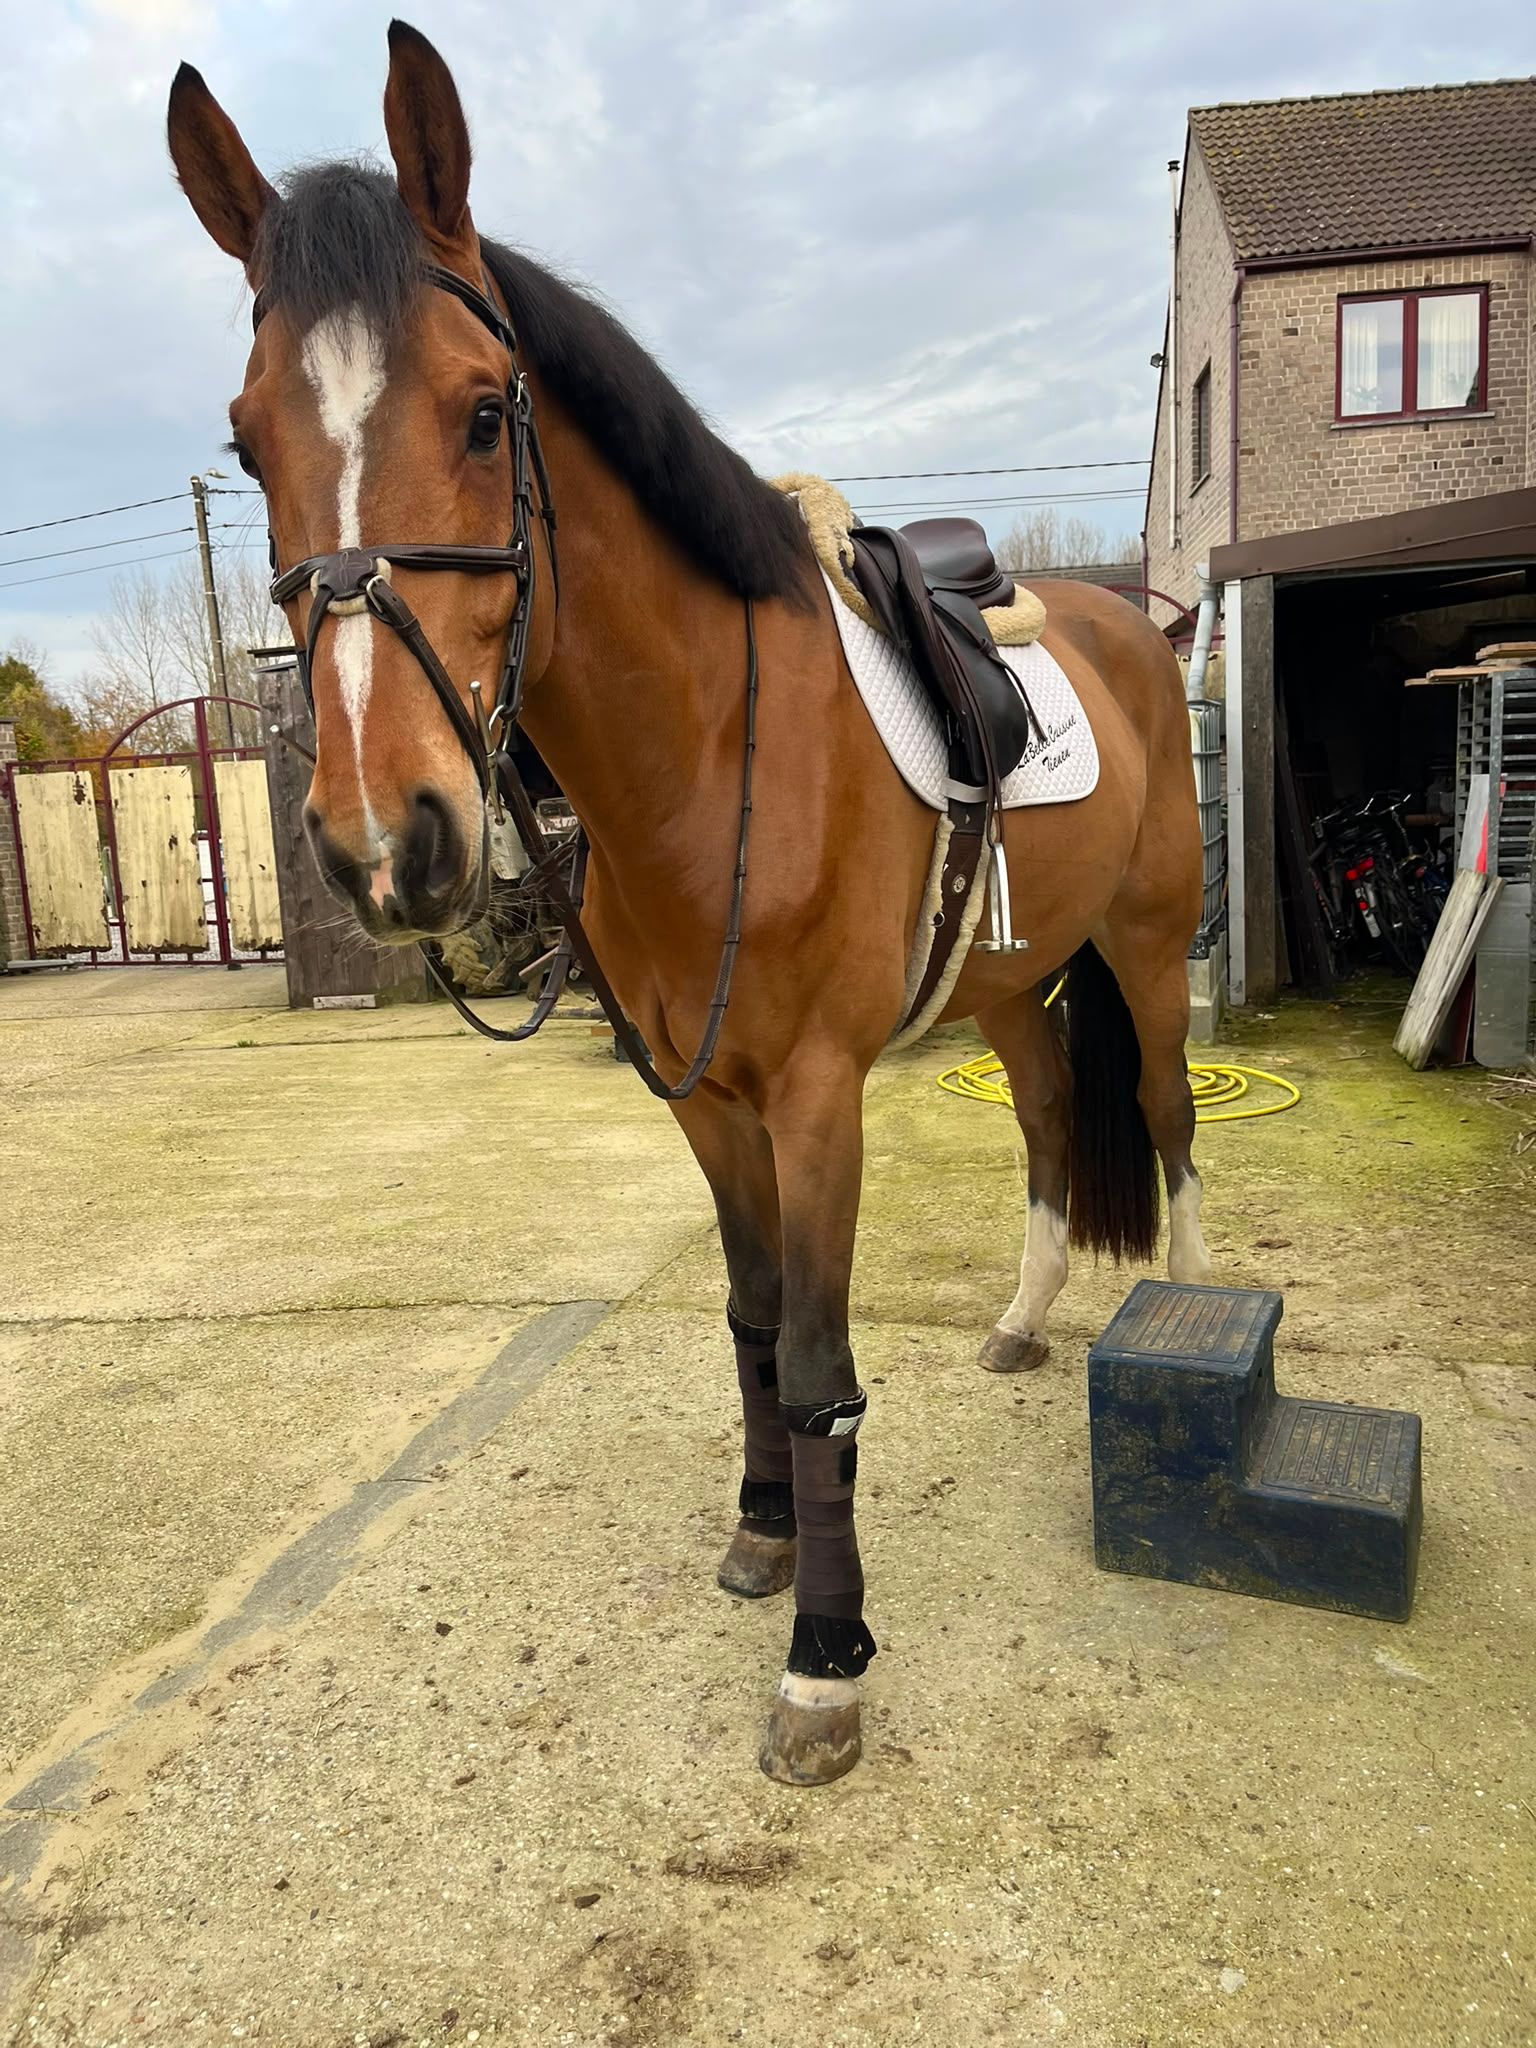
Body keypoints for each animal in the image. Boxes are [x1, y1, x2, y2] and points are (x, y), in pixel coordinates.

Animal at [166, 19, 1210, 1786]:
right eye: (248, 443)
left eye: (484, 412)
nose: (386, 840)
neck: (715, 751)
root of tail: (1133, 618)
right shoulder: (705, 1099)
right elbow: (746, 1320)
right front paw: (766, 1537)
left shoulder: (816, 1100)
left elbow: (820, 1365)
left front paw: (826, 1667)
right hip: (1010, 985)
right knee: (1052, 1120)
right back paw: (1021, 1318)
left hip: (1144, 949)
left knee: (1170, 1114)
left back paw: (1202, 1307)